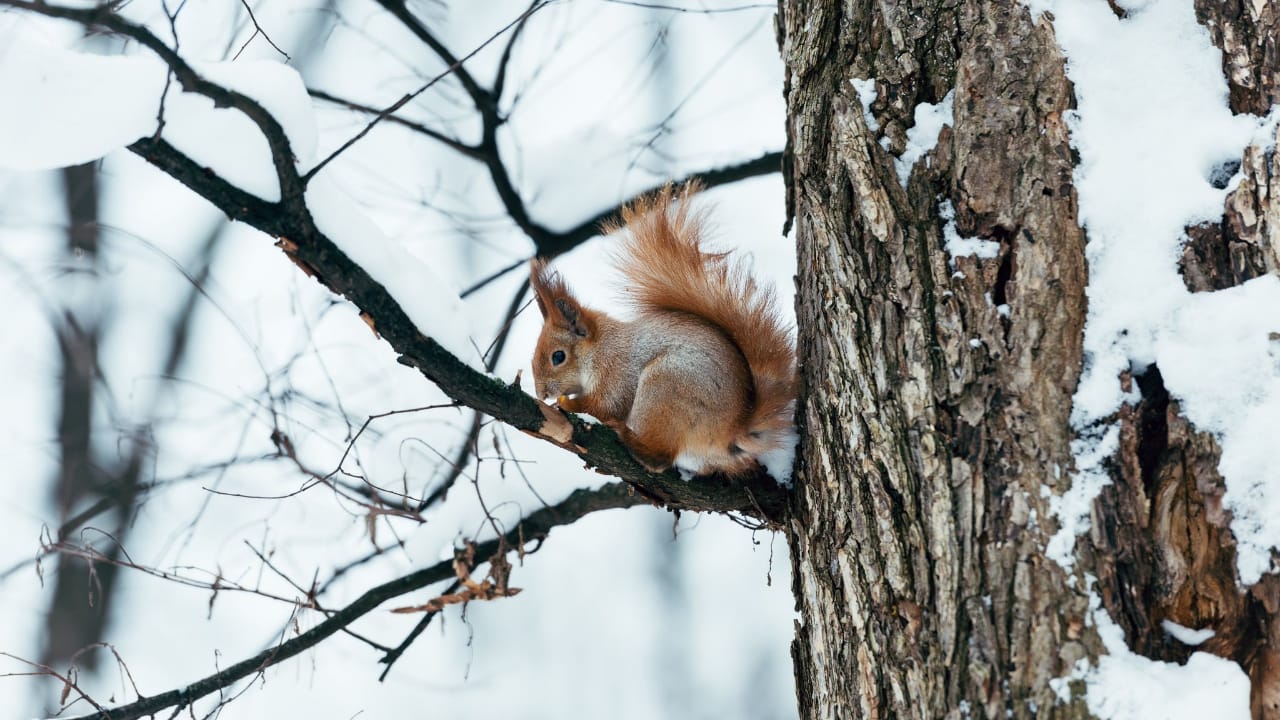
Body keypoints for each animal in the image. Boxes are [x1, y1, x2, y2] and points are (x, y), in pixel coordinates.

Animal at [529, 183, 798, 484]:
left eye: (558, 357)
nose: (541, 393)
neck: (600, 347)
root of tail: (732, 431)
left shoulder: (616, 369)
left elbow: (607, 405)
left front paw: (569, 403)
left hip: (665, 387)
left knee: (659, 458)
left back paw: (630, 438)